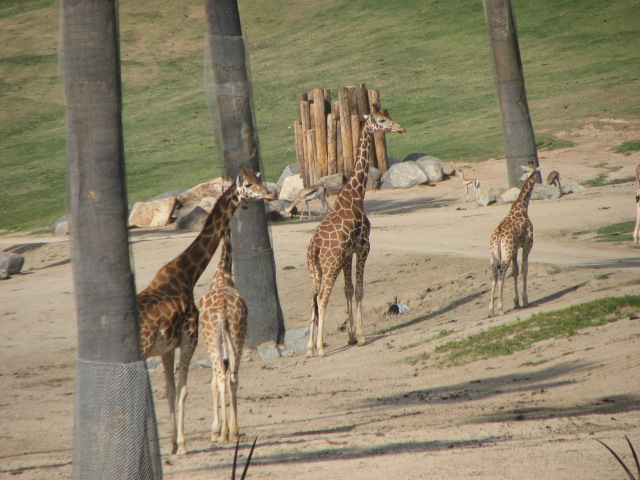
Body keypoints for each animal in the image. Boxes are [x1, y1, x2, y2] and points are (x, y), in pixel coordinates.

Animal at [136, 166, 275, 454]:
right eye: (247, 184)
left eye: (257, 178)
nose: (270, 194)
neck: (186, 275)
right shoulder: (190, 336)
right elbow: (184, 388)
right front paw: (183, 444)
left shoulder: (167, 348)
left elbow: (171, 390)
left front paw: (174, 445)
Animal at [306, 104, 405, 357]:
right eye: (381, 120)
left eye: (389, 115)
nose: (400, 128)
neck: (356, 195)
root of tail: (315, 248)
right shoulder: (363, 247)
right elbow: (359, 290)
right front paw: (360, 337)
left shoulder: (347, 254)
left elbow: (348, 290)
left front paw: (350, 335)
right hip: (329, 266)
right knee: (322, 298)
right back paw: (320, 348)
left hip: (315, 270)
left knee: (313, 299)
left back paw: (309, 349)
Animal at [488, 162, 539, 317]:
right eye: (525, 171)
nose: (520, 178)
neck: (522, 207)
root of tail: (498, 237)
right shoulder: (528, 244)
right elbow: (524, 269)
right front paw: (525, 300)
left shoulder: (515, 248)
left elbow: (516, 271)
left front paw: (516, 302)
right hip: (506, 254)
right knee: (501, 275)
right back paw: (500, 308)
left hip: (494, 256)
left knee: (494, 277)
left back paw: (491, 310)